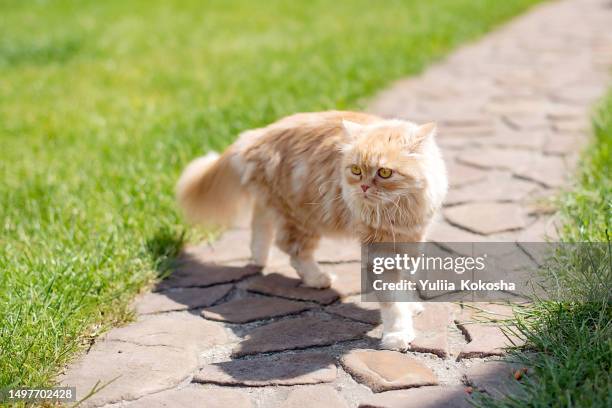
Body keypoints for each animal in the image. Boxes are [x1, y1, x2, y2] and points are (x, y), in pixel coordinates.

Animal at [175, 111, 448, 350]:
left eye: (384, 172)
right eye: (356, 170)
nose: (363, 188)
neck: (400, 211)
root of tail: (255, 135)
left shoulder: (412, 240)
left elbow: (406, 282)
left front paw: (411, 306)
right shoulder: (380, 251)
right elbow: (392, 301)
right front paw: (397, 335)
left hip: (278, 207)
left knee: (260, 223)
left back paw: (258, 257)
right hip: (302, 217)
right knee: (292, 248)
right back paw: (317, 278)